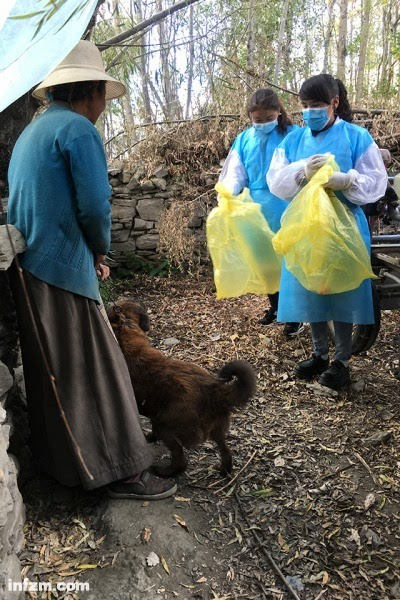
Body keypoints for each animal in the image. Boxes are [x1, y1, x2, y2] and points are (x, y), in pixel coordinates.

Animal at [107, 300, 256, 478]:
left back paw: (165, 471)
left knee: (181, 461)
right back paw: (224, 469)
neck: (123, 327)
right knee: (225, 450)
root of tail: (213, 390)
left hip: (168, 430)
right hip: (216, 429)